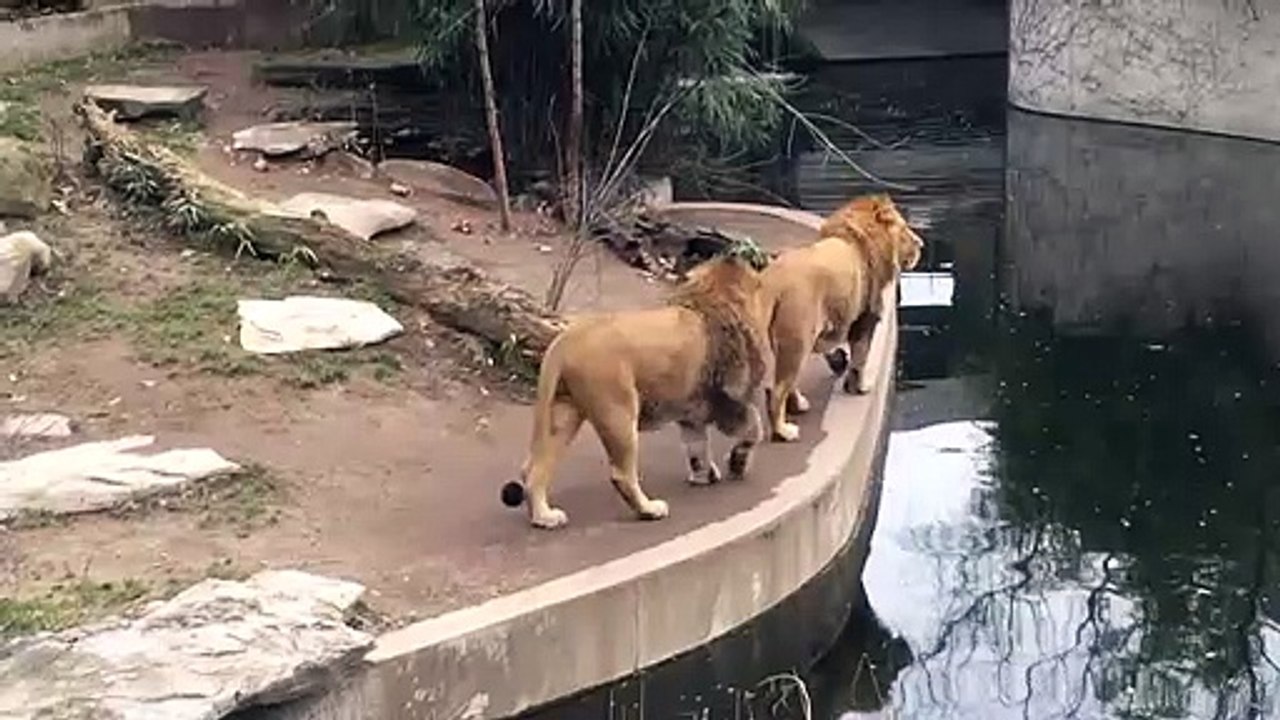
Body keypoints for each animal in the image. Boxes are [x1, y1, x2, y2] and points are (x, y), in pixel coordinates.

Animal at [500, 253, 771, 530]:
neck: (711, 293)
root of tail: (564, 341)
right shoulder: (731, 399)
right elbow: (754, 430)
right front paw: (737, 464)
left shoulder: (692, 410)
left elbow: (697, 446)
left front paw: (704, 475)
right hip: (617, 411)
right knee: (621, 474)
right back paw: (649, 509)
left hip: (563, 412)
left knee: (533, 469)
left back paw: (544, 517)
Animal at [760, 193, 923, 442]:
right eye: (905, 228)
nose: (921, 244)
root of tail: (772, 282)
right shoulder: (866, 319)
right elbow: (861, 358)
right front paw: (860, 388)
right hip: (798, 340)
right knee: (778, 389)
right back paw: (784, 431)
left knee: (778, 384)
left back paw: (798, 406)